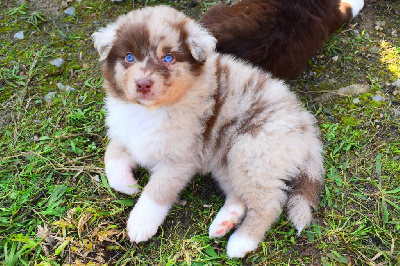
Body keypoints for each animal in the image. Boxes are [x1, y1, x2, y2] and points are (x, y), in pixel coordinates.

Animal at [92, 5, 324, 258]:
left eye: (168, 58)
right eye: (129, 57)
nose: (143, 84)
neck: (151, 111)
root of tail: (305, 125)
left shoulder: (179, 159)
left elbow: (157, 191)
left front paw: (140, 223)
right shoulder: (127, 133)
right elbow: (111, 157)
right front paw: (128, 184)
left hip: (253, 152)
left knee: (268, 203)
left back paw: (242, 241)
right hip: (227, 157)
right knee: (239, 196)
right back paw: (225, 223)